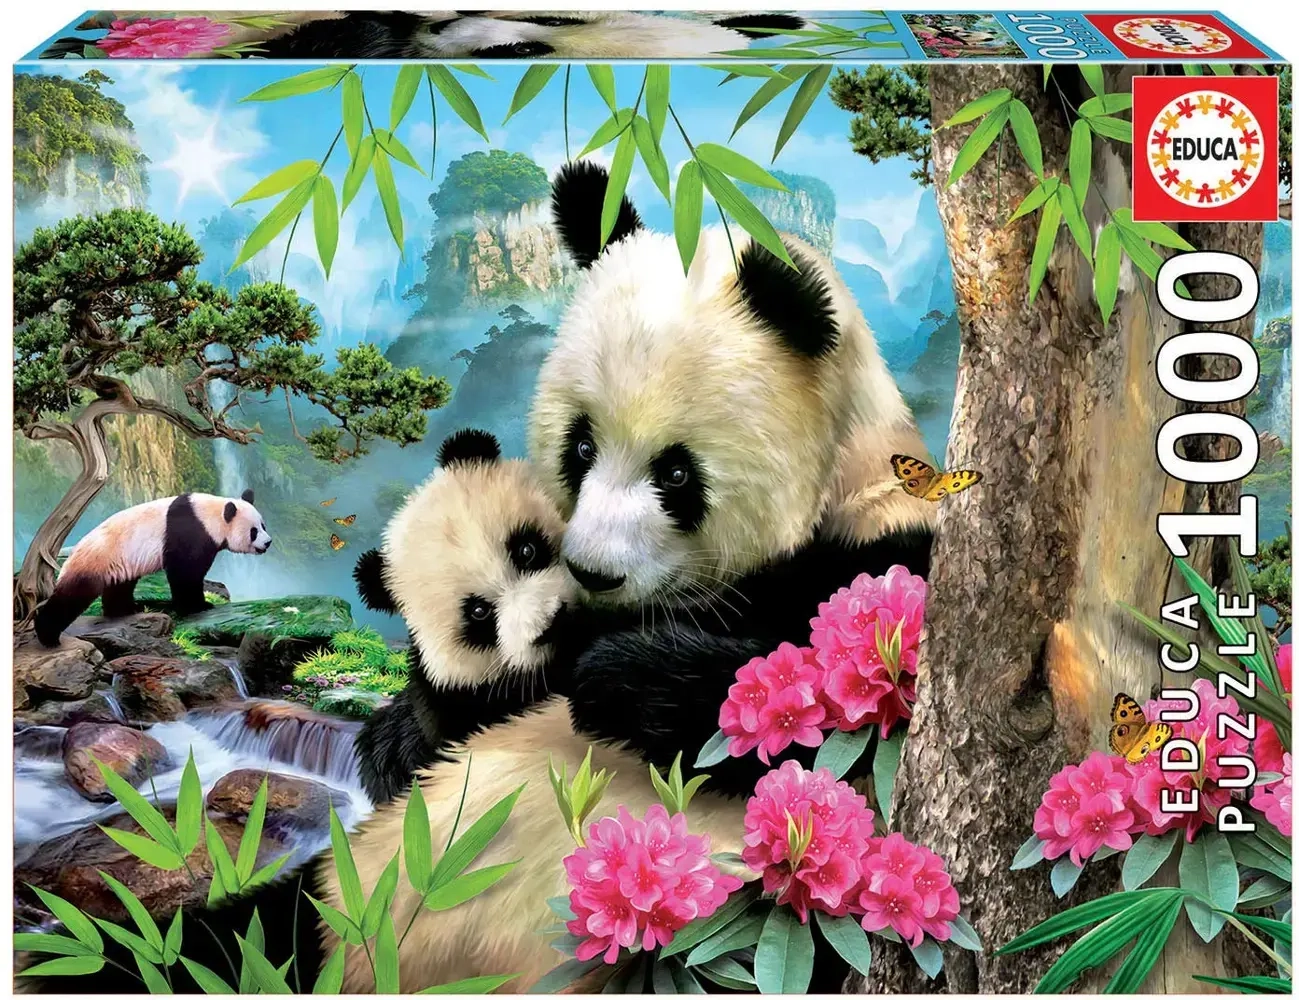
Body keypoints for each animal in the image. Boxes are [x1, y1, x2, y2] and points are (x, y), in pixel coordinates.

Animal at [34, 490, 270, 647]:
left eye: (263, 525)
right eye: (253, 531)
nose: (268, 543)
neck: (210, 514)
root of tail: (72, 553)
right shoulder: (189, 532)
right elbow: (185, 572)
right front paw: (199, 606)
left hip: (119, 562)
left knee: (120, 586)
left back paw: (126, 610)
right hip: (96, 560)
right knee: (72, 596)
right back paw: (48, 635)